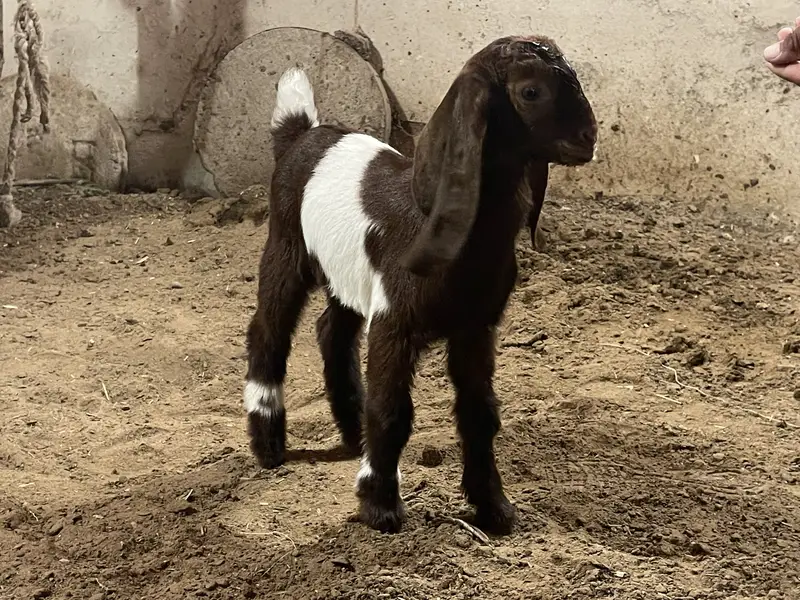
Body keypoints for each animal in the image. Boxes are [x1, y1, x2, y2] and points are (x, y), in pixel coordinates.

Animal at [244, 34, 598, 535]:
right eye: (530, 92)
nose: (589, 139)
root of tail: (301, 133)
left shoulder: (476, 326)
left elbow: (480, 412)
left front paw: (494, 508)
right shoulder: (395, 320)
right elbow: (392, 410)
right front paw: (380, 506)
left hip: (345, 273)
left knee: (332, 330)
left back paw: (352, 432)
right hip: (287, 245)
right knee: (269, 330)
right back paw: (268, 444)